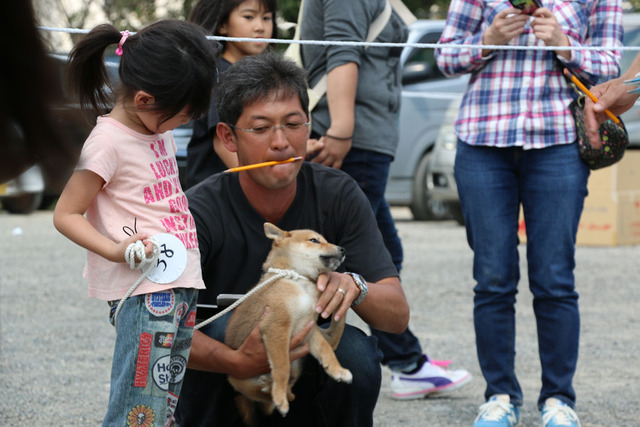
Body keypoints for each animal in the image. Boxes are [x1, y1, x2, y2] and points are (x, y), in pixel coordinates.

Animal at [225, 222, 356, 426]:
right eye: (314, 240)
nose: (343, 249)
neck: (298, 279)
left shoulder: (309, 328)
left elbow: (326, 349)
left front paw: (337, 371)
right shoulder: (277, 327)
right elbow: (281, 366)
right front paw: (279, 398)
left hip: (297, 367)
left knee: (290, 392)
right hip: (239, 379)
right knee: (267, 396)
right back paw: (271, 389)